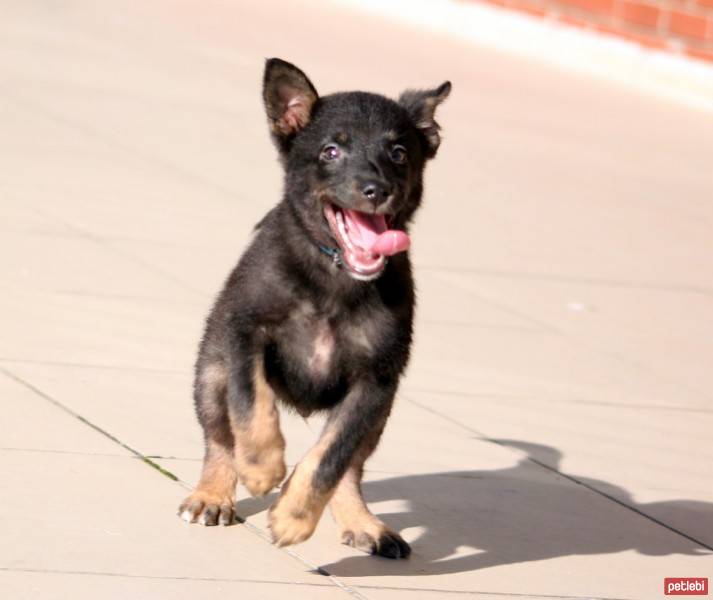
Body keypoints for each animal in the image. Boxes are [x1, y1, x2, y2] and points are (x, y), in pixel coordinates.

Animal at [178, 57, 448, 556]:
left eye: (400, 153)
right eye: (330, 152)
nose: (376, 189)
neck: (334, 277)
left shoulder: (376, 380)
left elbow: (331, 456)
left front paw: (295, 516)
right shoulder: (245, 331)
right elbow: (251, 401)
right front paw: (261, 466)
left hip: (380, 413)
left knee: (350, 467)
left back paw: (362, 522)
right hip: (210, 371)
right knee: (219, 437)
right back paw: (212, 494)